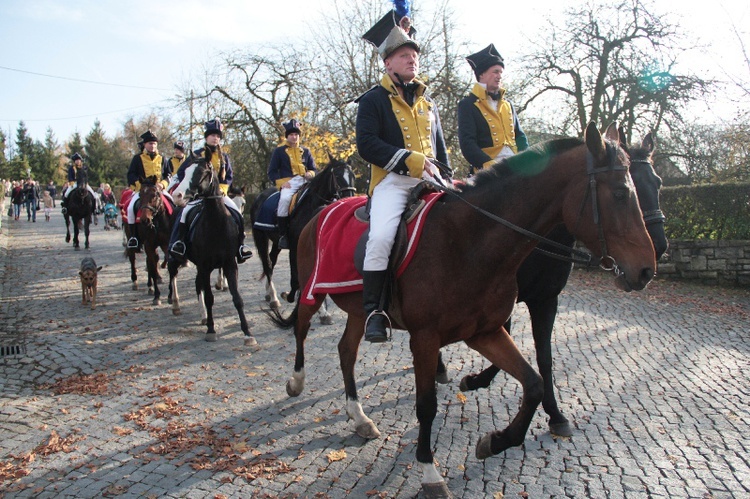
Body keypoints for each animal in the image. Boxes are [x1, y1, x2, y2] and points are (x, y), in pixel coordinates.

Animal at [167, 162, 256, 346]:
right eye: (185, 172)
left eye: (202, 173)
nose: (178, 196)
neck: (216, 224)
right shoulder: (205, 266)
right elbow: (209, 298)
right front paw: (211, 330)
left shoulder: (229, 264)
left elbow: (237, 298)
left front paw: (247, 333)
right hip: (177, 257)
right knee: (173, 274)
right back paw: (176, 305)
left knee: (197, 284)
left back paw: (203, 316)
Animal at [251, 158, 356, 316]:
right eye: (337, 176)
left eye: (353, 176)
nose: (349, 198)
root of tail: (259, 196)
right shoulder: (295, 247)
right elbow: (297, 277)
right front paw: (290, 296)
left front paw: (322, 311)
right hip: (261, 238)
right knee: (267, 264)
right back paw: (274, 298)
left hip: (275, 242)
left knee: (272, 259)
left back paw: (269, 294)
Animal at [456, 129, 668, 438]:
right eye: (624, 193)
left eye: (658, 183)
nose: (656, 253)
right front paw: (477, 379)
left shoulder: (546, 300)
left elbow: (544, 356)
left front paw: (554, 413)